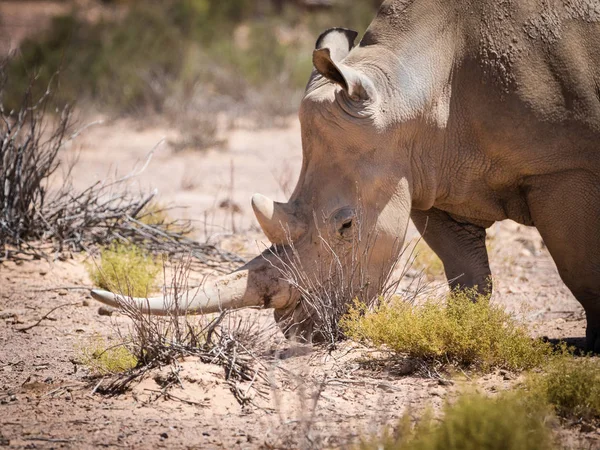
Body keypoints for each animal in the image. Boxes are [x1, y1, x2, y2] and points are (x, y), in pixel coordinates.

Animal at [91, 0, 600, 352]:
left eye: (347, 226)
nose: (301, 330)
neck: (411, 85)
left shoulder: (566, 166)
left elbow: (580, 269)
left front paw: (589, 350)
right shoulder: (431, 175)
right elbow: (466, 273)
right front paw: (463, 330)